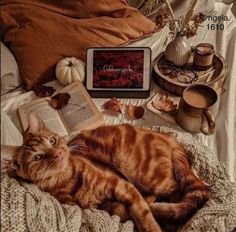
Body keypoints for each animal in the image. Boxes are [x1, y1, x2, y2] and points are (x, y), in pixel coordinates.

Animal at [3, 114, 210, 232]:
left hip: (147, 175)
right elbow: (126, 211)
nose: (58, 153)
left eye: (52, 141)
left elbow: (142, 213)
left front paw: (150, 222)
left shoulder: (121, 185)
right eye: (38, 157)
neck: (66, 179)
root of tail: (170, 137)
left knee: (182, 194)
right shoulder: (104, 207)